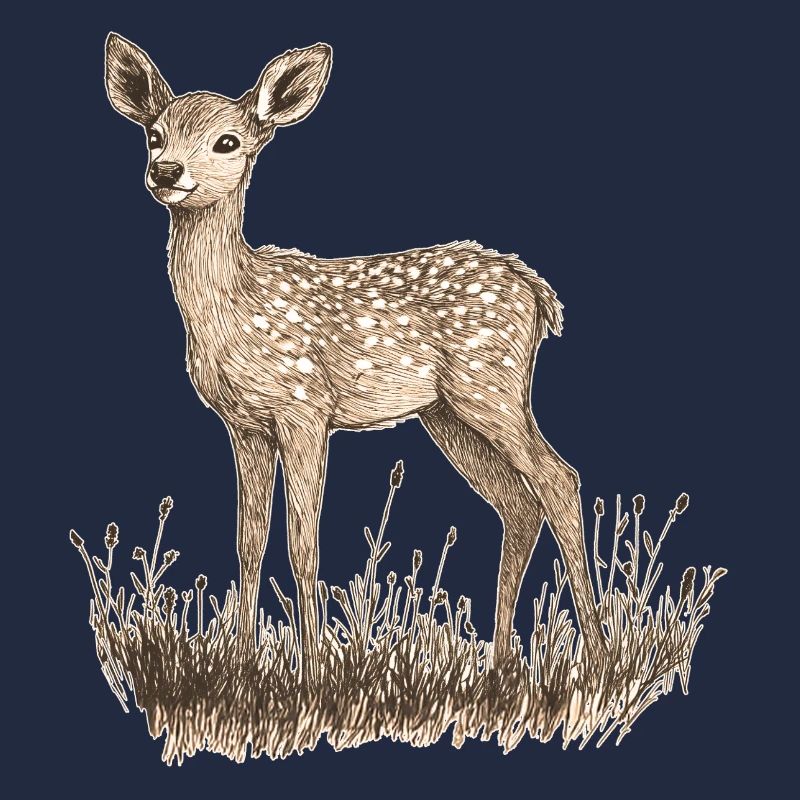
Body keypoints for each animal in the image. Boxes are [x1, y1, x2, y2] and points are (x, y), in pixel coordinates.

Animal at [104, 33, 606, 684]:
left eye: (228, 141)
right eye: (154, 133)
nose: (166, 171)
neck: (234, 309)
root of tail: (537, 292)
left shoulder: (305, 409)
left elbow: (302, 542)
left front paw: (312, 671)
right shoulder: (245, 426)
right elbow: (248, 541)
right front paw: (241, 665)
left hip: (488, 384)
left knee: (558, 480)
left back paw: (599, 657)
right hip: (447, 414)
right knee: (518, 504)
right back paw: (501, 664)